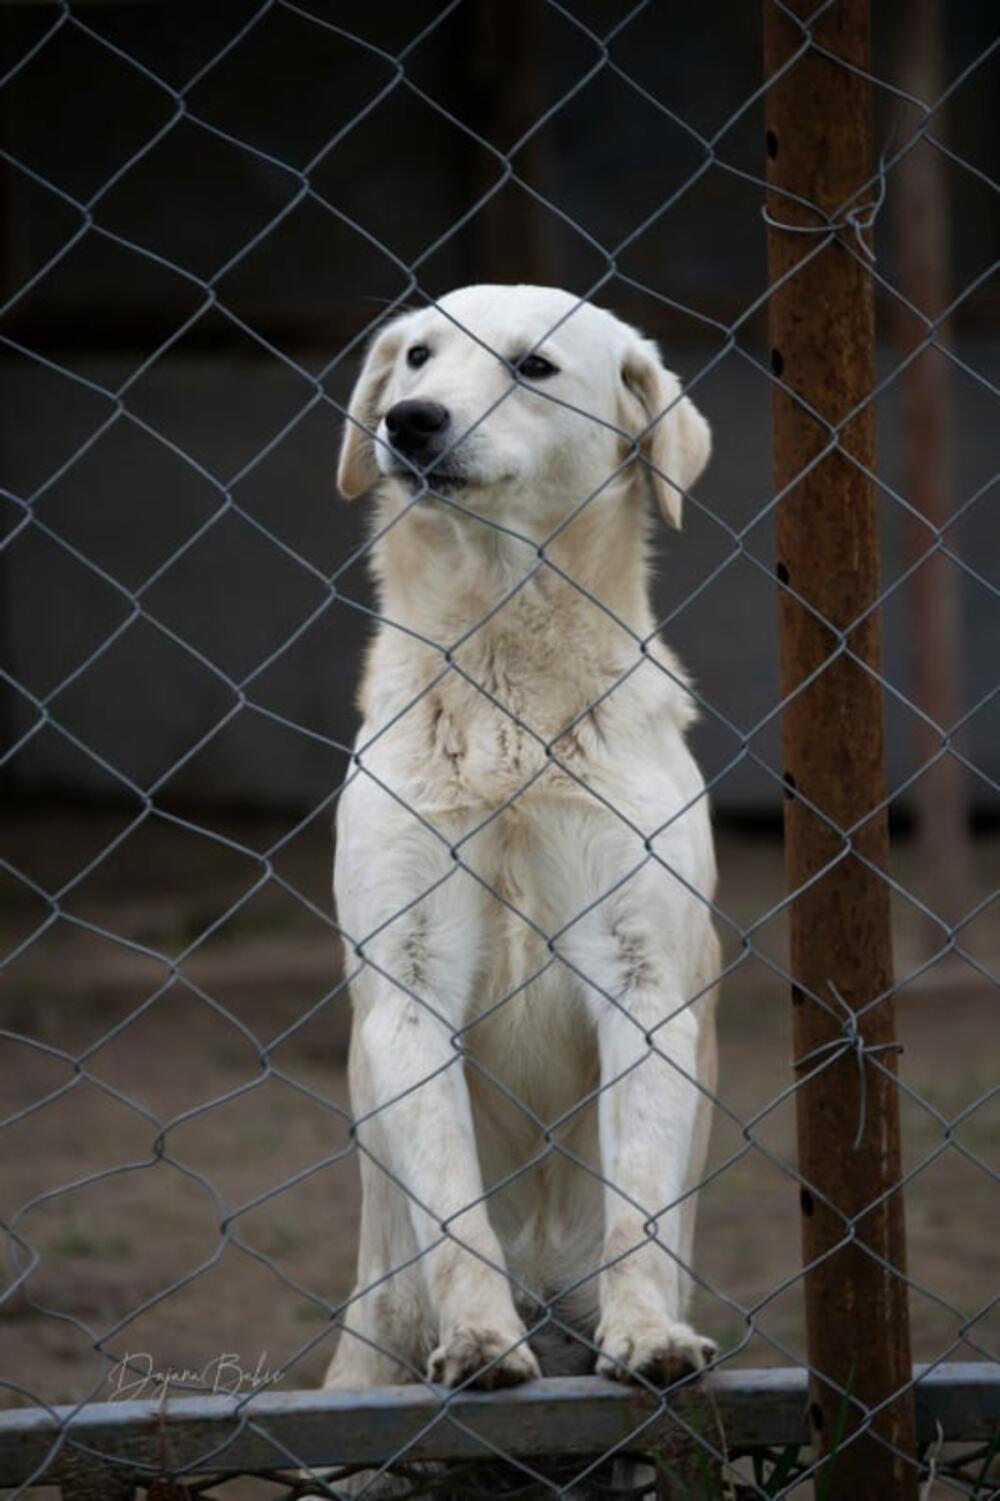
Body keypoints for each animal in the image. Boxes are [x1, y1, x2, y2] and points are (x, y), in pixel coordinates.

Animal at [323, 284, 720, 1404]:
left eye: (531, 366)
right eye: (417, 357)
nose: (409, 420)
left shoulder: (642, 978)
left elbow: (636, 1208)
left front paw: (647, 1336)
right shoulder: (408, 983)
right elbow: (456, 1212)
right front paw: (481, 1340)